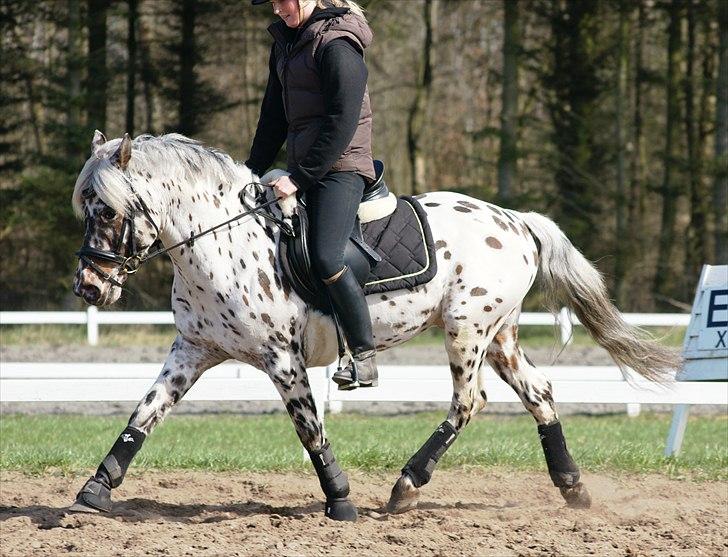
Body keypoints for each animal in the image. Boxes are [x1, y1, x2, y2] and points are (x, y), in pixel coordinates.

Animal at [68, 134, 676, 520]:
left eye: (108, 211)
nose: (89, 288)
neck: (221, 240)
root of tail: (517, 221)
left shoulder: (282, 359)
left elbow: (310, 429)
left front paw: (339, 500)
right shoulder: (192, 349)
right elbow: (144, 413)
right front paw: (96, 488)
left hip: (467, 329)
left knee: (469, 402)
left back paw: (407, 486)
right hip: (500, 334)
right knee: (540, 394)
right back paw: (572, 488)